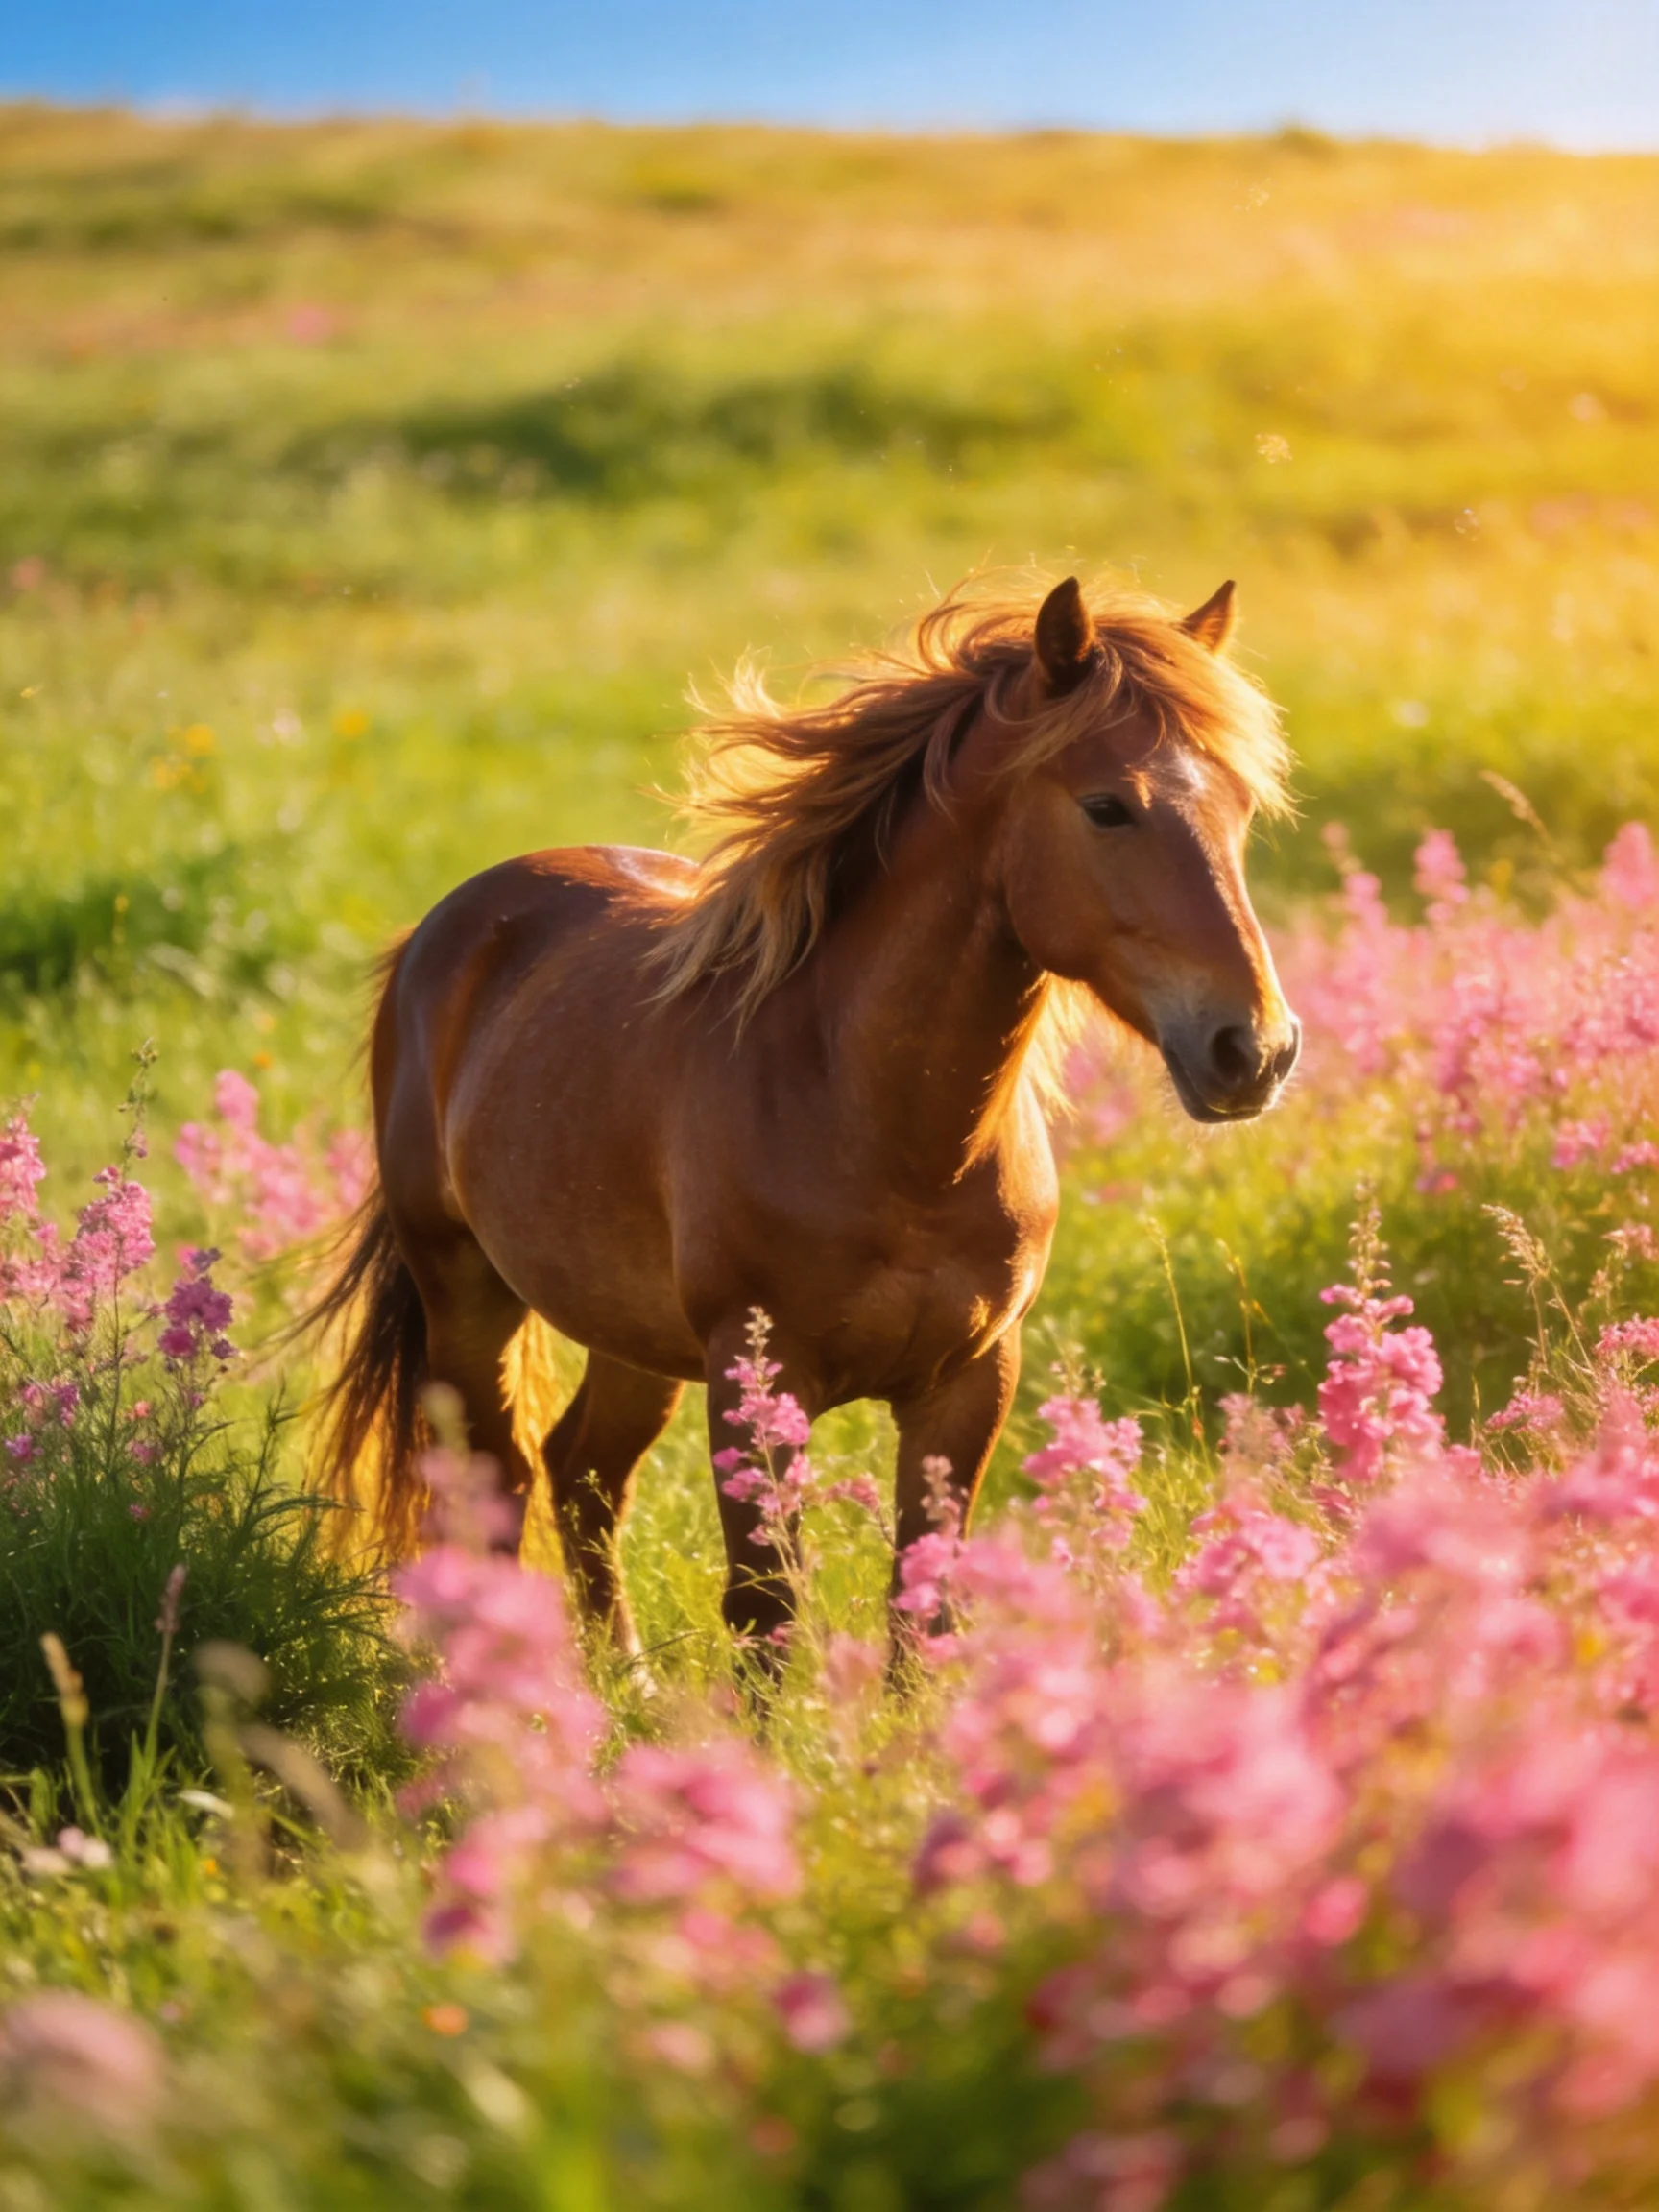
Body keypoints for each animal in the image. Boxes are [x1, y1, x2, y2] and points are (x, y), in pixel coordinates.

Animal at [313, 573, 1299, 1652]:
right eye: (1109, 807)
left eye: (1244, 809)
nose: (1255, 1050)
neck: (891, 1132)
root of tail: (448, 928)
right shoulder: (759, 1378)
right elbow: (765, 1609)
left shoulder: (971, 1380)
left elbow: (925, 1604)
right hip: (467, 1298)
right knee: (500, 1488)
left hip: (631, 1335)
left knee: (581, 1475)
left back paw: (625, 1676)